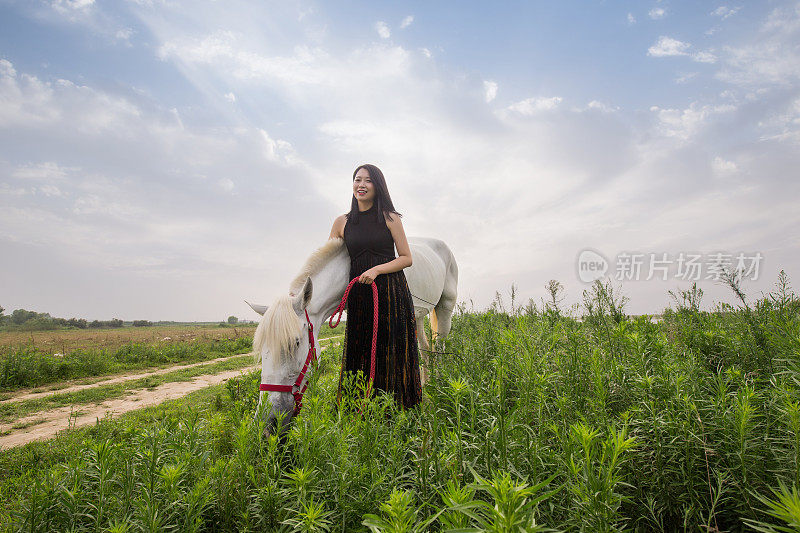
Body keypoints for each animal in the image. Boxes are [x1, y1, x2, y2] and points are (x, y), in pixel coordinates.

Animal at [247, 236, 460, 428]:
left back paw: (439, 383)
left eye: (296, 343)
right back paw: (426, 384)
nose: (267, 423)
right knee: (426, 349)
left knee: (439, 346)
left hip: (444, 308)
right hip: (419, 316)